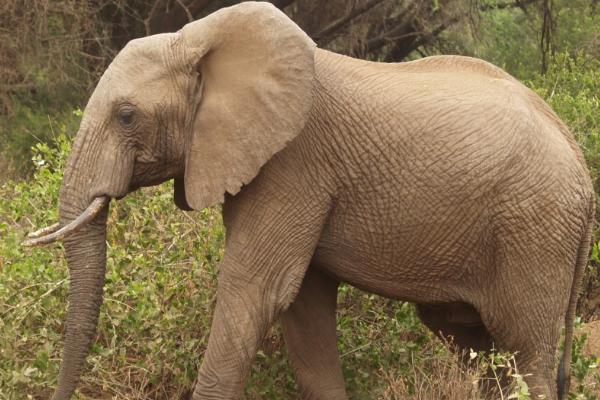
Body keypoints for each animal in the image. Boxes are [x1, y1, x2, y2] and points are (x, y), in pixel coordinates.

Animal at [24, 0, 596, 400]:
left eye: (126, 116)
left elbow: (256, 291)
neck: (203, 41)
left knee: (525, 348)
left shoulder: (293, 163)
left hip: (534, 230)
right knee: (473, 341)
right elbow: (302, 307)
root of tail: (581, 165)